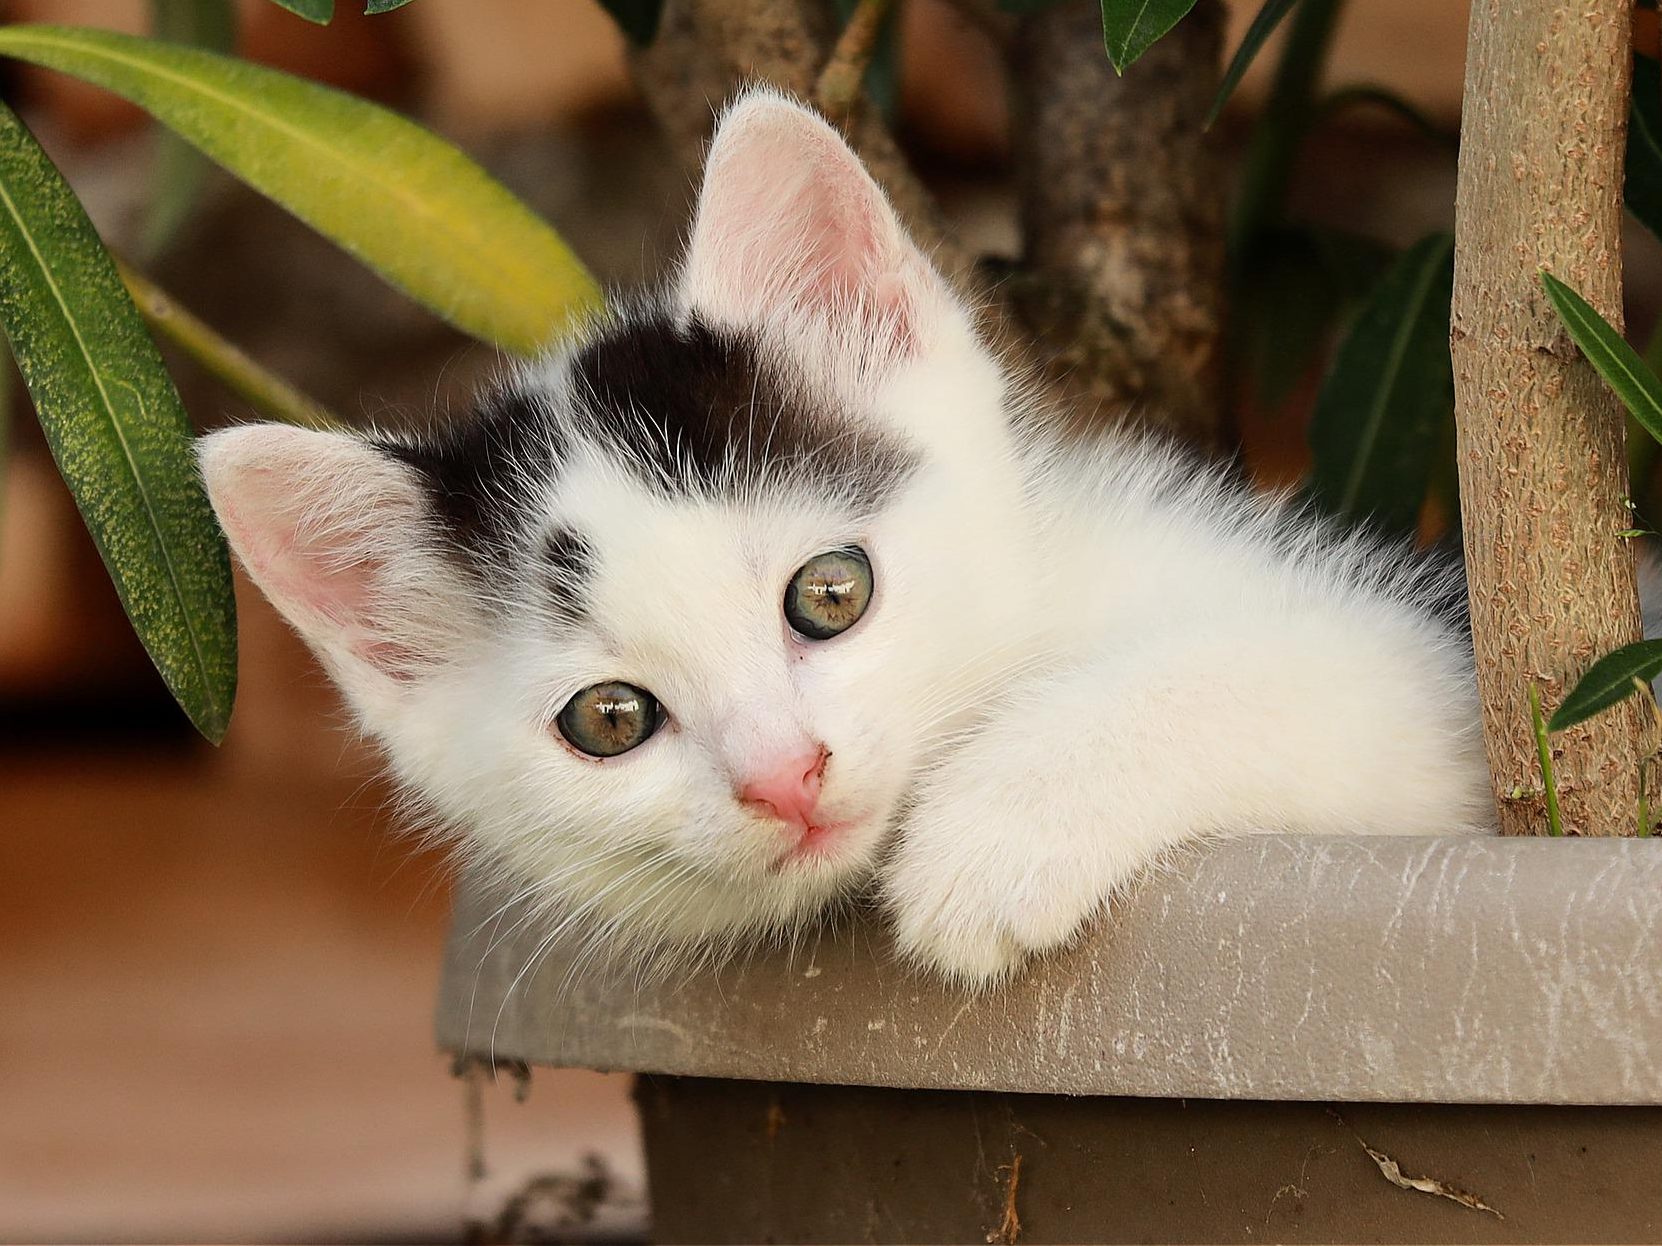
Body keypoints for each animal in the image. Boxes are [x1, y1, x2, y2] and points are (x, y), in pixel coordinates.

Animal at [197, 88, 1495, 990]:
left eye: (830, 594)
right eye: (609, 719)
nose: (785, 777)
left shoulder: (1429, 682)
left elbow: (1282, 671)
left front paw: (997, 829)